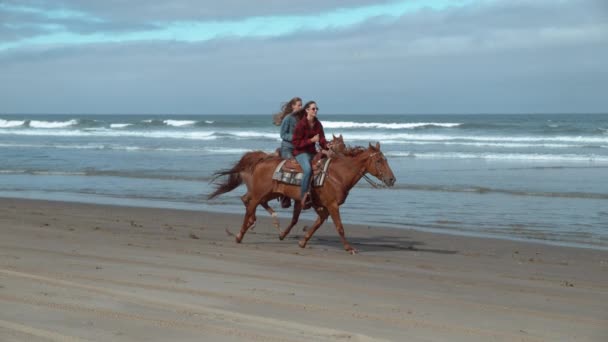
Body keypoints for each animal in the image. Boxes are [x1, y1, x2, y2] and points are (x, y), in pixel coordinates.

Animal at [210, 142, 400, 254]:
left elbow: (316, 222)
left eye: (386, 159)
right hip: (259, 193)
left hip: (270, 193)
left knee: (249, 204)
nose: (391, 180)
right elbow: (339, 227)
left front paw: (302, 241)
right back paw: (240, 235)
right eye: (379, 161)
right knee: (249, 208)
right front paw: (349, 248)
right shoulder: (332, 205)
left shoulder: (320, 205)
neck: (337, 174)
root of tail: (262, 159)